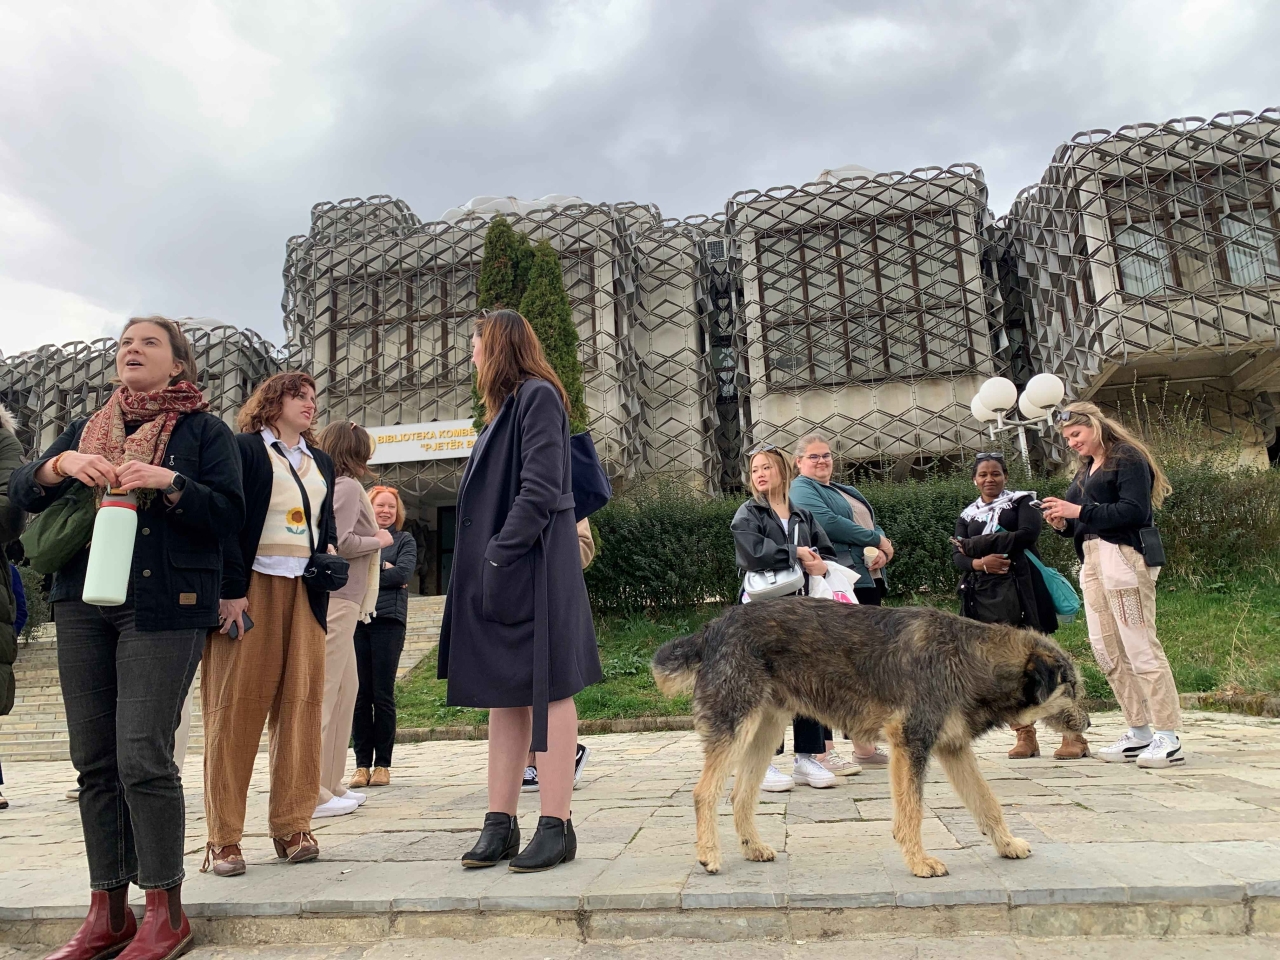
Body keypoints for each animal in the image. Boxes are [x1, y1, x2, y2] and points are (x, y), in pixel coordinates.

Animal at [655, 601, 1085, 880]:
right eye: (1074, 689)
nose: (1087, 722)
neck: (966, 657)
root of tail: (712, 628)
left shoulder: (952, 748)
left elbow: (987, 803)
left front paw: (1006, 844)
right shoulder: (909, 742)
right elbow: (912, 811)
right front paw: (919, 862)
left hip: (765, 732)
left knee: (740, 795)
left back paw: (752, 848)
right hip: (737, 727)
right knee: (704, 793)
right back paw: (709, 854)